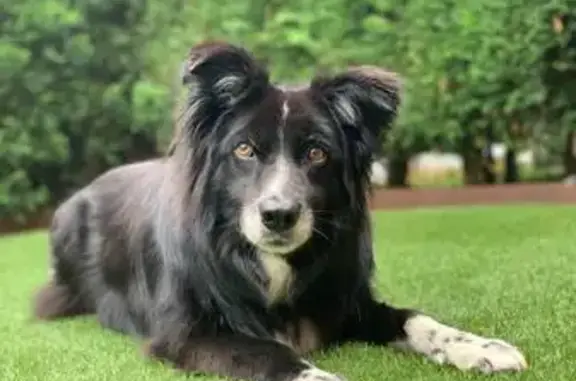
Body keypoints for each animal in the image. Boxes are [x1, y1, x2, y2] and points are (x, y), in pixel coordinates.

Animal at [31, 41, 528, 380]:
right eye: (245, 149)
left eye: (317, 154)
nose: (279, 215)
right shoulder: (185, 334)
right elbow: (269, 353)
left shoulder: (348, 301)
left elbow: (416, 318)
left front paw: (480, 346)